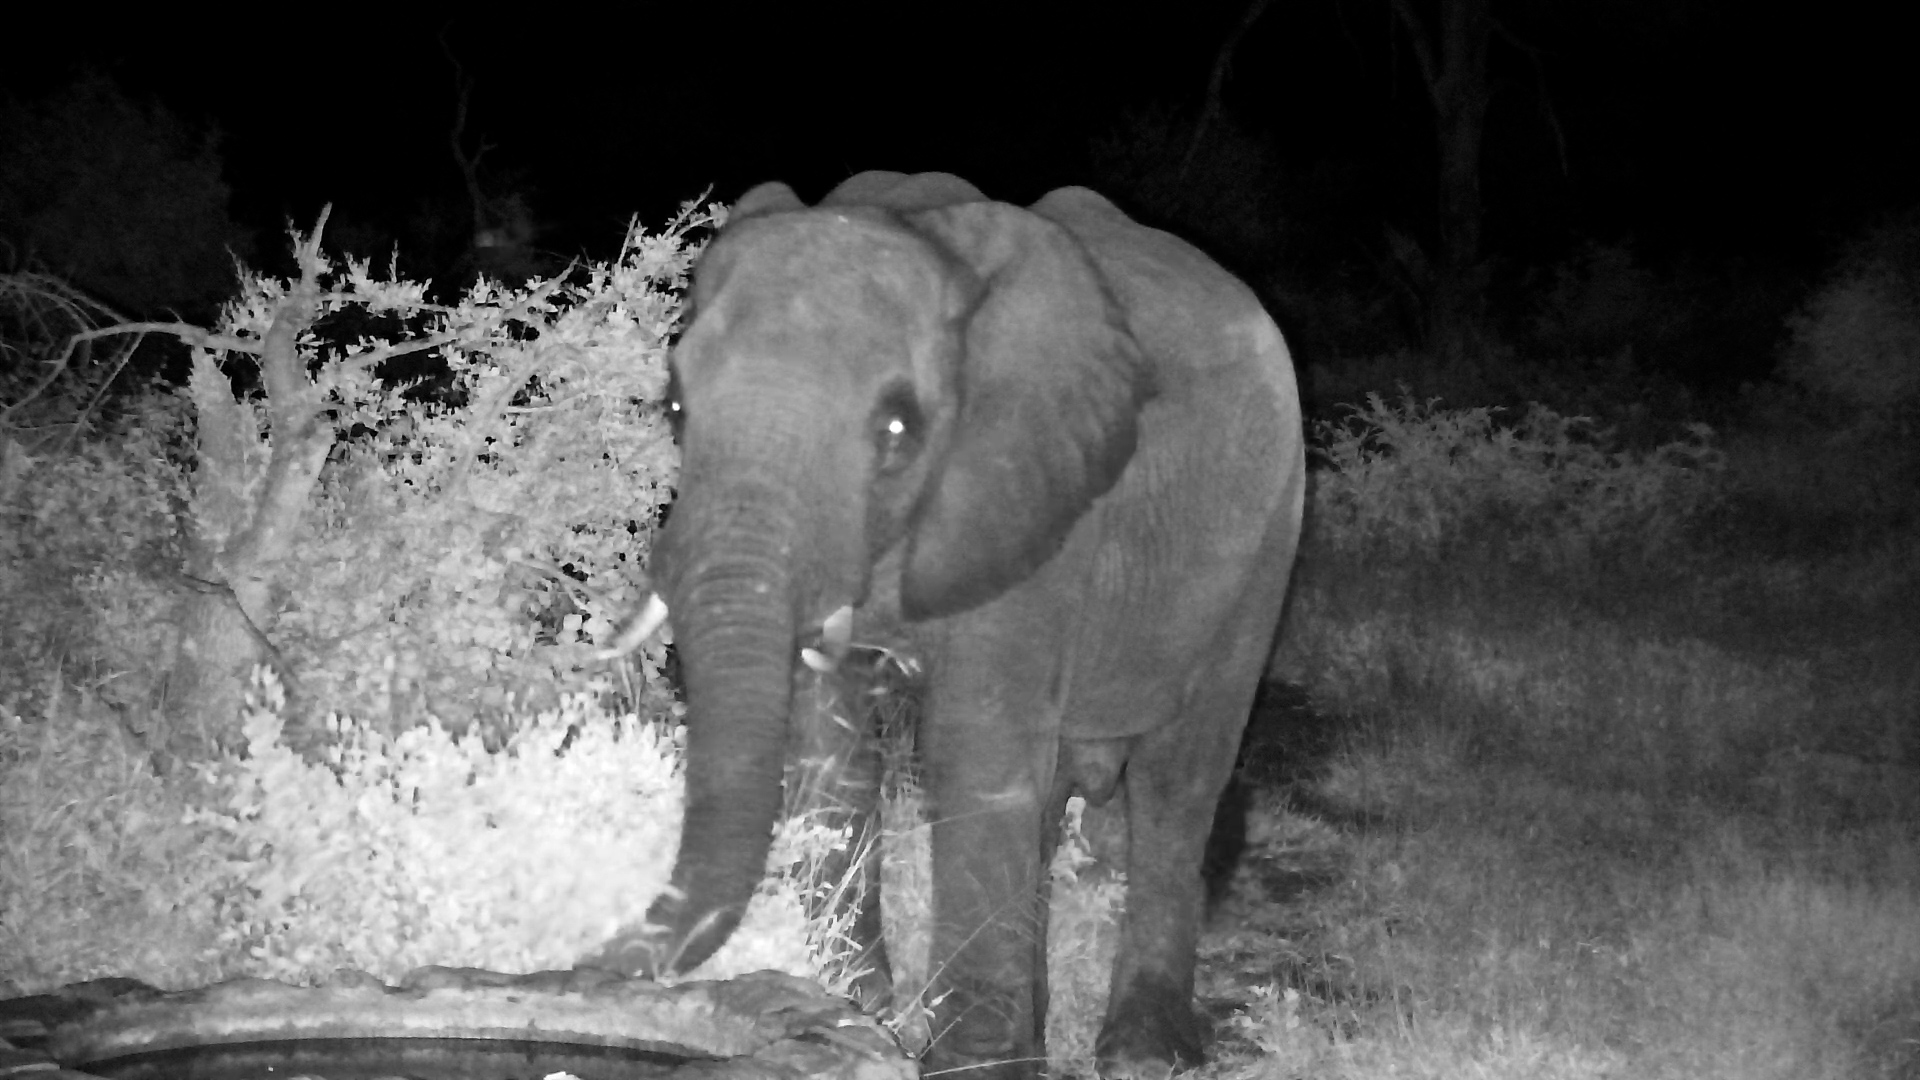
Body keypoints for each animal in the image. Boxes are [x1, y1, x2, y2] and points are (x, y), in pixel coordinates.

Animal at [581, 170, 1305, 1080]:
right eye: (675, 408)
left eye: (898, 429)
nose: (590, 963)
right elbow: (826, 751)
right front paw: (856, 1016)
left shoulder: (1040, 500)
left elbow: (975, 749)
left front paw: (963, 1065)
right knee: (1055, 792)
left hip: (1268, 532)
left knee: (1180, 777)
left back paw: (1147, 1053)